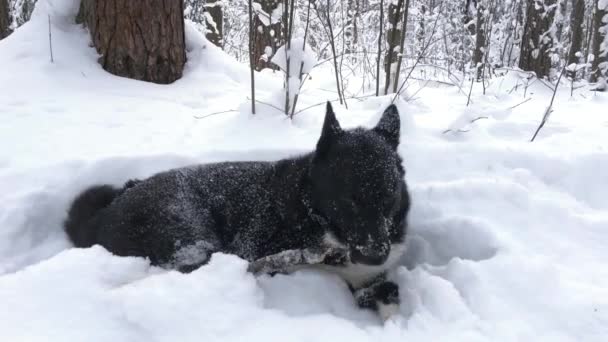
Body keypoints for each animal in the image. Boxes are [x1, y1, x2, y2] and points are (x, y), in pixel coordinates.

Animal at [65, 103, 408, 320]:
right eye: (347, 197)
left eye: (390, 193)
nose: (375, 255)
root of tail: (102, 214)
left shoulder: (371, 276)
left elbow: (388, 290)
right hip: (191, 233)